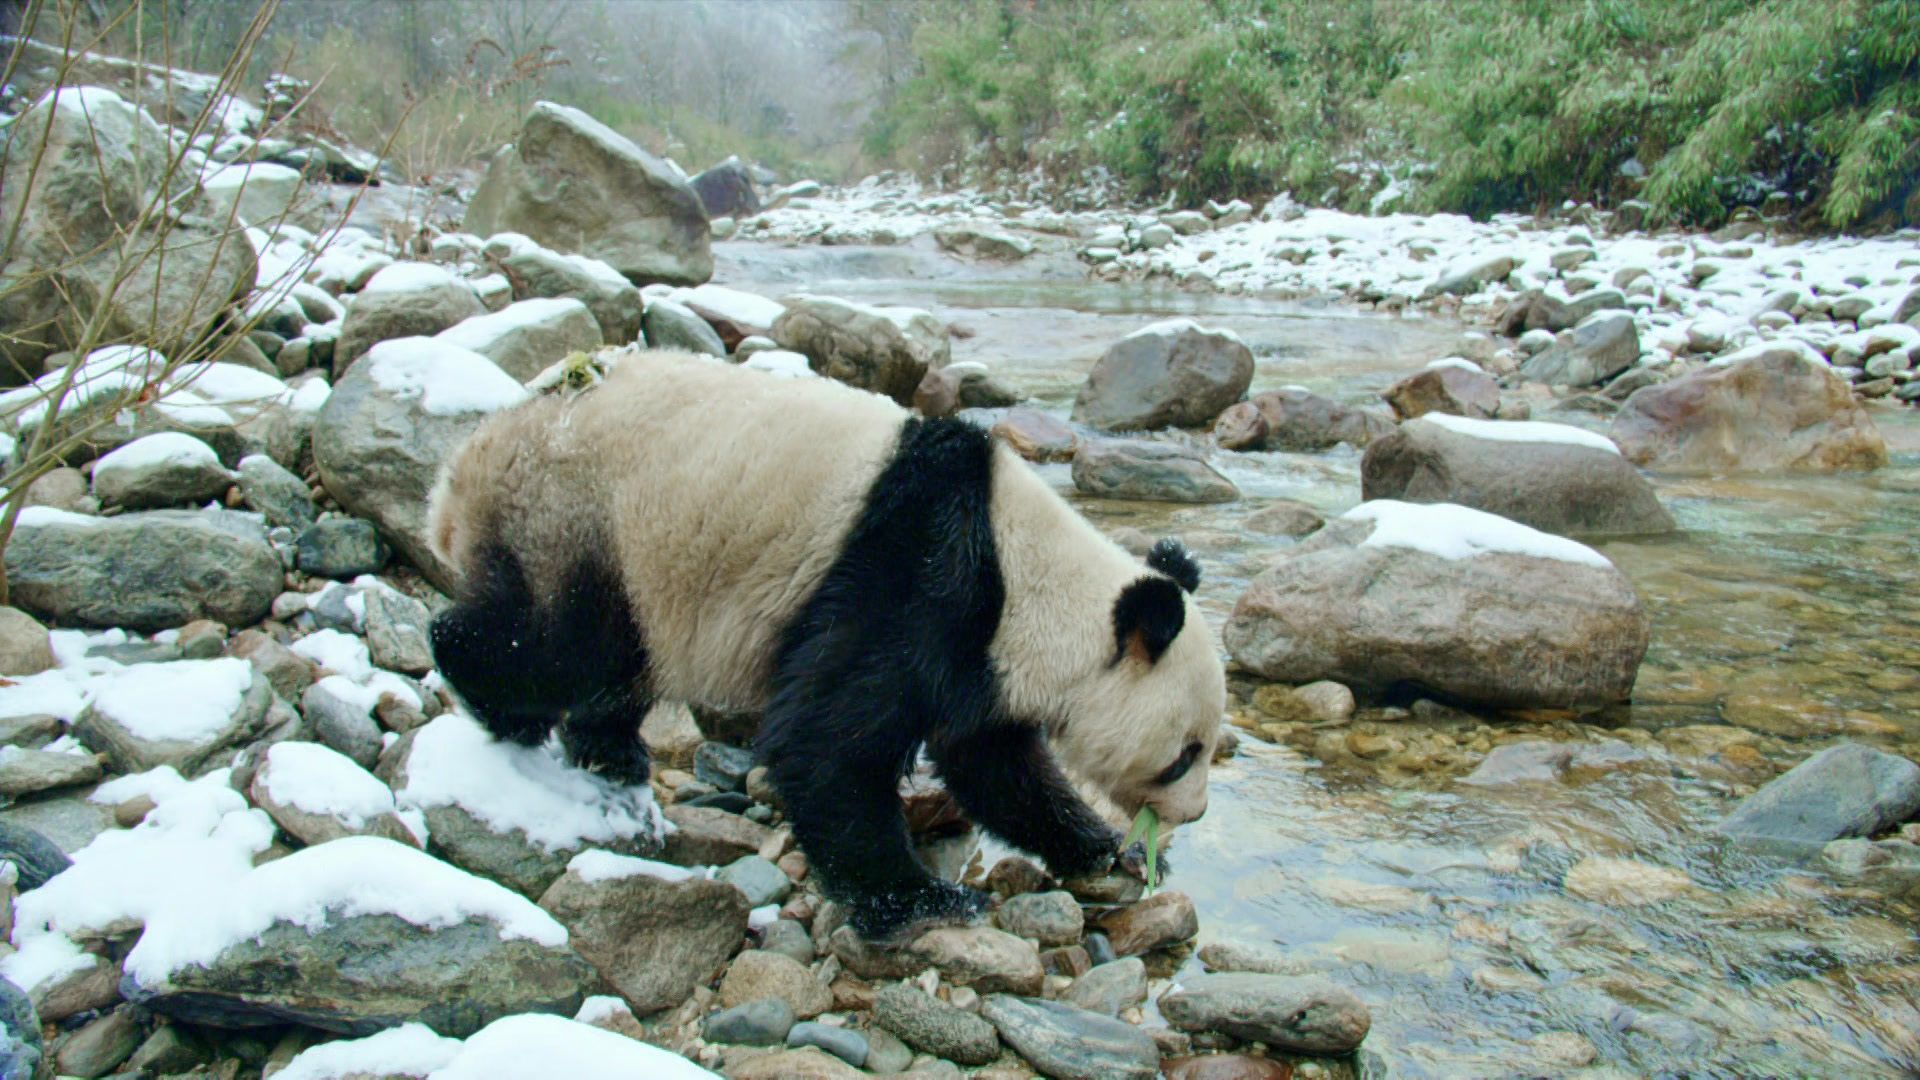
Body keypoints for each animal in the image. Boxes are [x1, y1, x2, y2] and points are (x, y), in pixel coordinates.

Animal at [425, 349, 1226, 941]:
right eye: (1185, 754)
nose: (1194, 816)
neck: (1029, 572)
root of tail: (464, 468)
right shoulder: (917, 577)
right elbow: (825, 742)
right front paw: (920, 901)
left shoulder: (981, 651)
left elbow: (993, 766)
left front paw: (1105, 849)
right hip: (578, 520)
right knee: (557, 646)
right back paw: (494, 702)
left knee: (616, 665)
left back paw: (611, 751)